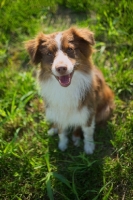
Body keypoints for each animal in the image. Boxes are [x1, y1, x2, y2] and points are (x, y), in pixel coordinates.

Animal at [25, 27, 114, 155]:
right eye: (49, 53)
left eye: (70, 49)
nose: (61, 68)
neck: (66, 89)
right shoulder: (58, 110)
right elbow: (62, 131)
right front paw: (62, 144)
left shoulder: (88, 111)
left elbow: (88, 132)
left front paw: (89, 147)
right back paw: (53, 129)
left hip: (105, 110)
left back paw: (76, 138)